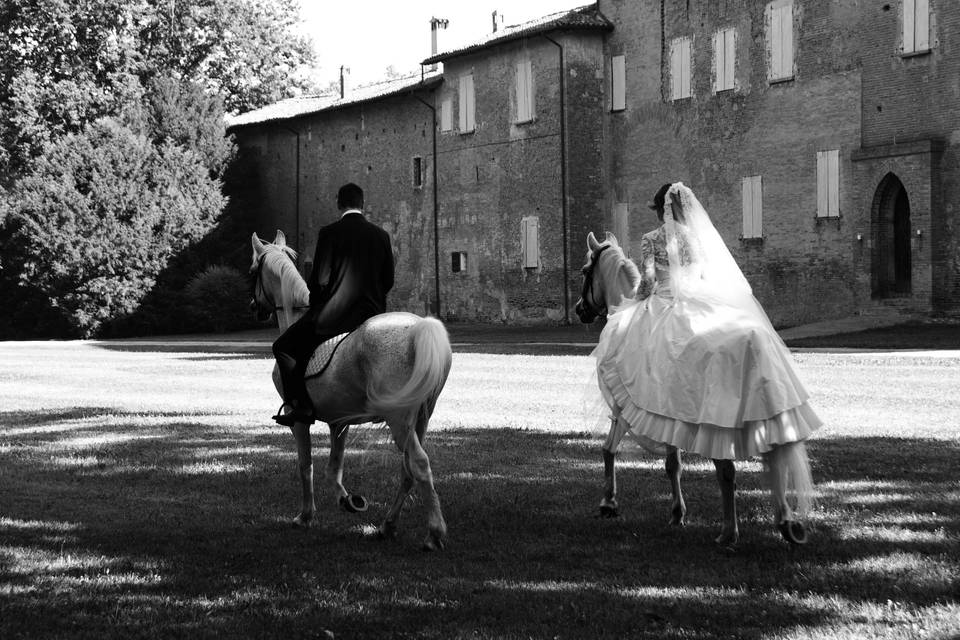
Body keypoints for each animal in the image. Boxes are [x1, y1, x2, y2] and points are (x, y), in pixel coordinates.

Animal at [251, 230, 454, 552]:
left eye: (252, 271)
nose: (253, 307)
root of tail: (419, 327)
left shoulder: (298, 419)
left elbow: (305, 464)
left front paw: (305, 516)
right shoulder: (340, 420)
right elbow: (334, 467)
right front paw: (347, 500)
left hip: (399, 419)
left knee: (419, 464)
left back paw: (434, 534)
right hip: (421, 418)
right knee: (408, 470)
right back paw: (387, 525)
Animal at [572, 232, 812, 548]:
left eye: (585, 270)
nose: (579, 310)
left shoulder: (623, 408)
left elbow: (609, 449)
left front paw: (609, 503)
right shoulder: (665, 416)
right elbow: (673, 463)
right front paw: (677, 513)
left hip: (715, 423)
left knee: (727, 471)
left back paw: (729, 532)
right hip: (768, 417)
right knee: (776, 462)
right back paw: (784, 522)